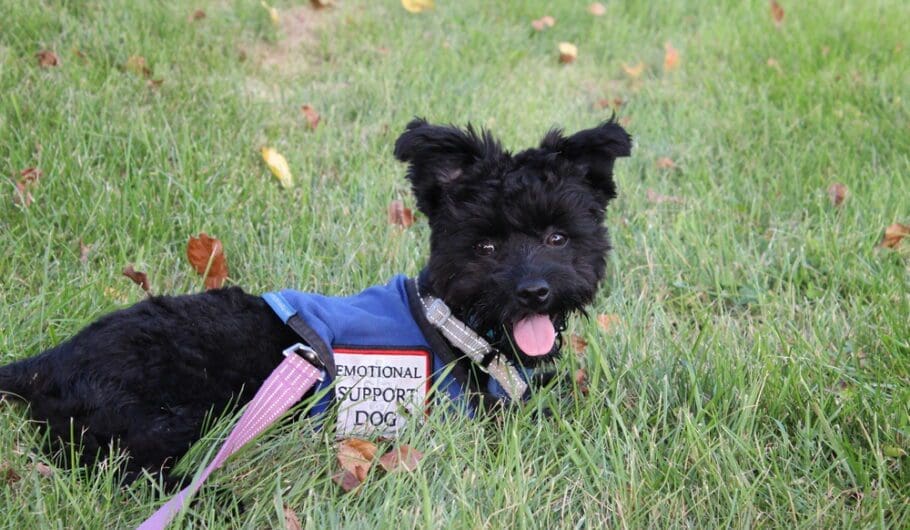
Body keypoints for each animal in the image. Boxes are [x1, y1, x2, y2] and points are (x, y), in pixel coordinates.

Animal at [0, 118, 632, 482]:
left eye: (557, 237)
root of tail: (42, 366)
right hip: (156, 422)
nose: (534, 290)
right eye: (487, 245)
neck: (455, 326)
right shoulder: (466, 423)